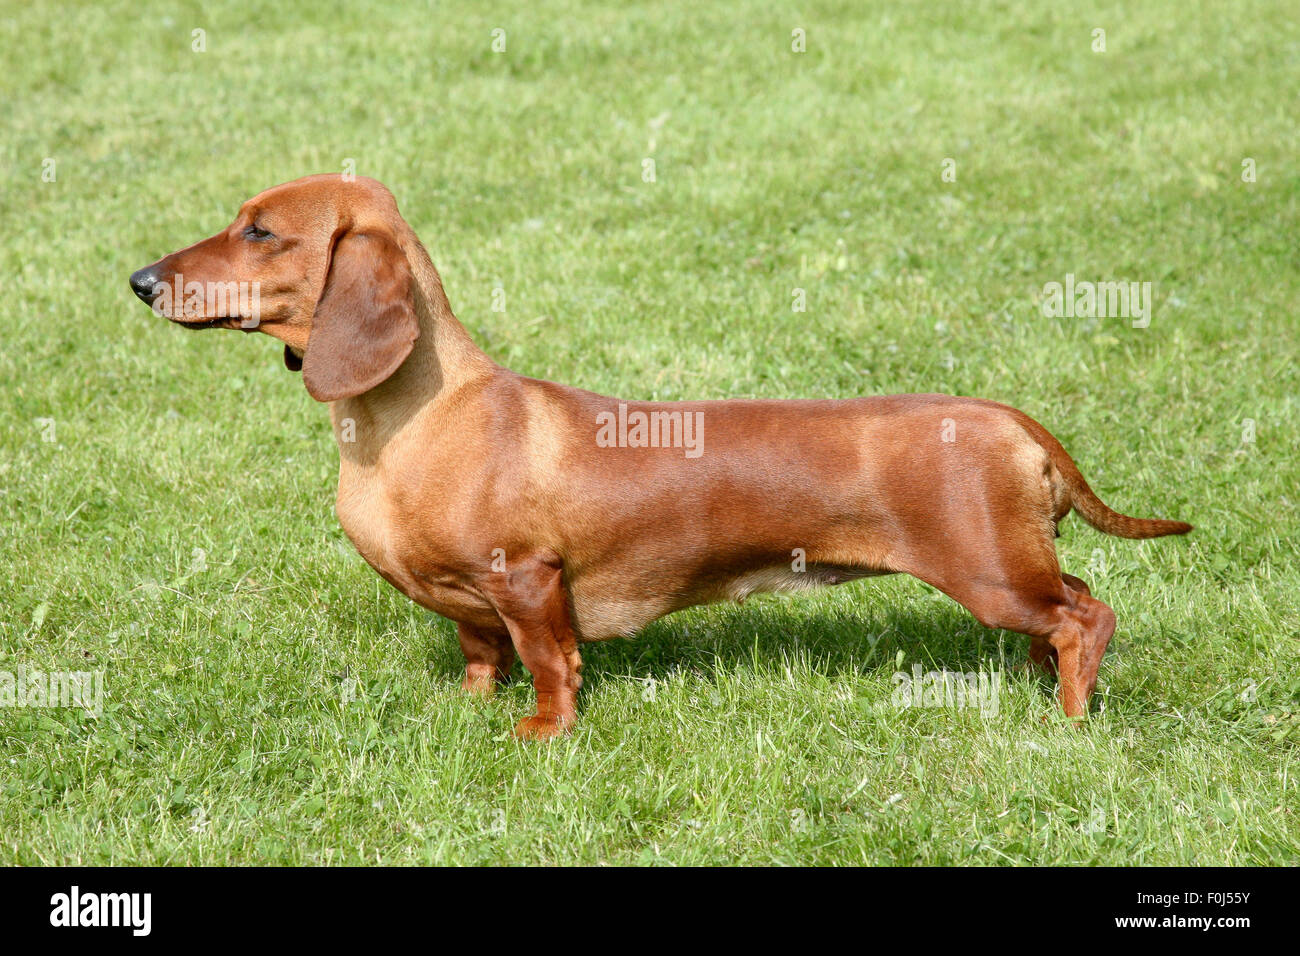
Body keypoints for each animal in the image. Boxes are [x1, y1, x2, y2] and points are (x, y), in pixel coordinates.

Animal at [129, 174, 1190, 738]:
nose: (139, 279)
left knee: (1088, 615)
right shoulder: (474, 606)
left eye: (260, 230)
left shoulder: (528, 581)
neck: (415, 420)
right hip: (1013, 566)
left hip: (988, 570)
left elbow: (549, 663)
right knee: (1068, 610)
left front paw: (540, 733)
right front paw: (473, 708)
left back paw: (1070, 715)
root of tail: (1012, 419)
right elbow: (480, 654)